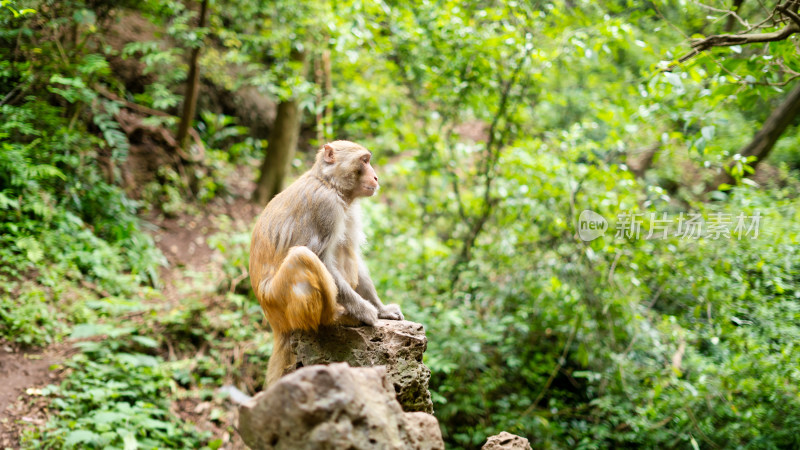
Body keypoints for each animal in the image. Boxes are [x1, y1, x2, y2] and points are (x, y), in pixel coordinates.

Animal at [252, 141, 406, 386]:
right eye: (364, 161)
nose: (376, 177)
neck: (330, 185)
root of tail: (275, 324)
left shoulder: (348, 209)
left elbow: (353, 252)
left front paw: (381, 309)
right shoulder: (326, 207)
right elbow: (321, 257)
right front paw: (366, 311)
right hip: (278, 301)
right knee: (302, 256)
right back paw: (336, 317)